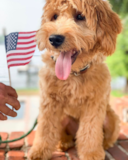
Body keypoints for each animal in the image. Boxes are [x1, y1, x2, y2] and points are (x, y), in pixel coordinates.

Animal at [29, 0, 122, 160]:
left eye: (80, 16)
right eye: (54, 16)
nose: (54, 38)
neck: (74, 74)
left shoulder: (94, 104)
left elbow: (91, 131)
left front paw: (92, 153)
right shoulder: (49, 102)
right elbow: (45, 129)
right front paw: (39, 151)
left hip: (112, 118)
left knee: (105, 136)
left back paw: (103, 146)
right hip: (63, 117)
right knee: (61, 134)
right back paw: (64, 142)